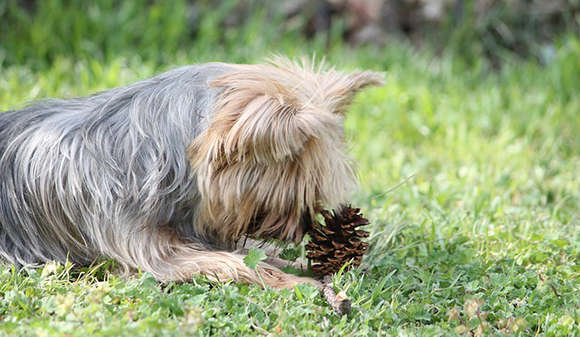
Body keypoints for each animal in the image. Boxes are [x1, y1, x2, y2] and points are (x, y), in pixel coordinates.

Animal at [0, 57, 382, 288]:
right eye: (297, 190)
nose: (304, 226)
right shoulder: (151, 250)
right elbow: (237, 263)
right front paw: (301, 283)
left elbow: (252, 251)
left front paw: (314, 265)